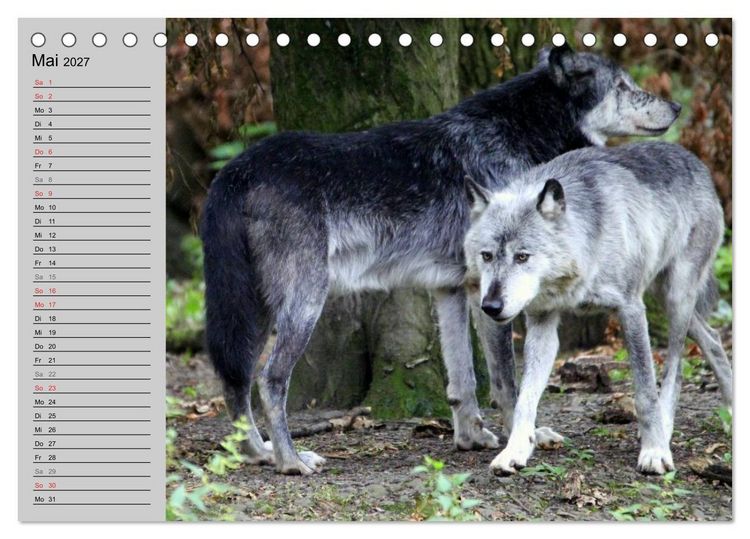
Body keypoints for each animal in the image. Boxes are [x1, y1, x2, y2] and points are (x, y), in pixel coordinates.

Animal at [201, 44, 681, 475]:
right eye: (623, 86)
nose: (676, 106)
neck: (516, 132)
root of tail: (235, 170)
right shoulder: (492, 298)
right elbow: (506, 382)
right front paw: (519, 443)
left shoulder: (453, 289)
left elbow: (462, 380)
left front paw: (470, 438)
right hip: (303, 305)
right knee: (269, 381)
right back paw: (290, 461)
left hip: (254, 309)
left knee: (235, 378)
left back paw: (258, 453)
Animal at [464, 141, 732, 475]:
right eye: (486, 256)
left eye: (522, 257)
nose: (491, 306)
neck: (587, 247)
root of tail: (689, 156)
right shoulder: (542, 323)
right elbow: (525, 398)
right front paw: (514, 451)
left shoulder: (630, 309)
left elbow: (645, 392)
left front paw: (655, 451)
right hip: (664, 298)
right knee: (712, 338)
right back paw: (731, 409)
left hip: (676, 297)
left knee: (676, 369)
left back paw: (666, 431)